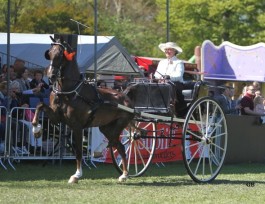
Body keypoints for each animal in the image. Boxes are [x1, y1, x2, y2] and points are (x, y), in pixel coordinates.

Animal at [31, 36, 134, 183]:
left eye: (60, 54)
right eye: (49, 53)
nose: (50, 76)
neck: (68, 91)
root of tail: (127, 99)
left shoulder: (77, 126)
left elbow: (79, 151)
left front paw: (77, 175)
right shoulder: (56, 117)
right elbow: (40, 106)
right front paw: (36, 129)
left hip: (117, 127)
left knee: (120, 146)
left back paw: (124, 173)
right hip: (106, 128)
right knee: (119, 146)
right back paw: (124, 174)